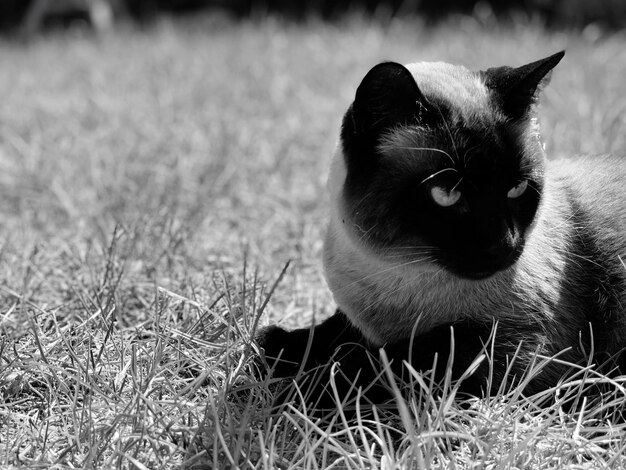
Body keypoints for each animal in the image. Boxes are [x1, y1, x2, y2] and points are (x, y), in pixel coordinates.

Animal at [254, 52, 624, 412]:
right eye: (447, 194)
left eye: (517, 190)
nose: (503, 246)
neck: (396, 274)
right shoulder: (357, 318)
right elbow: (325, 334)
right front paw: (277, 348)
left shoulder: (514, 344)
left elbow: (386, 361)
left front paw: (296, 389)